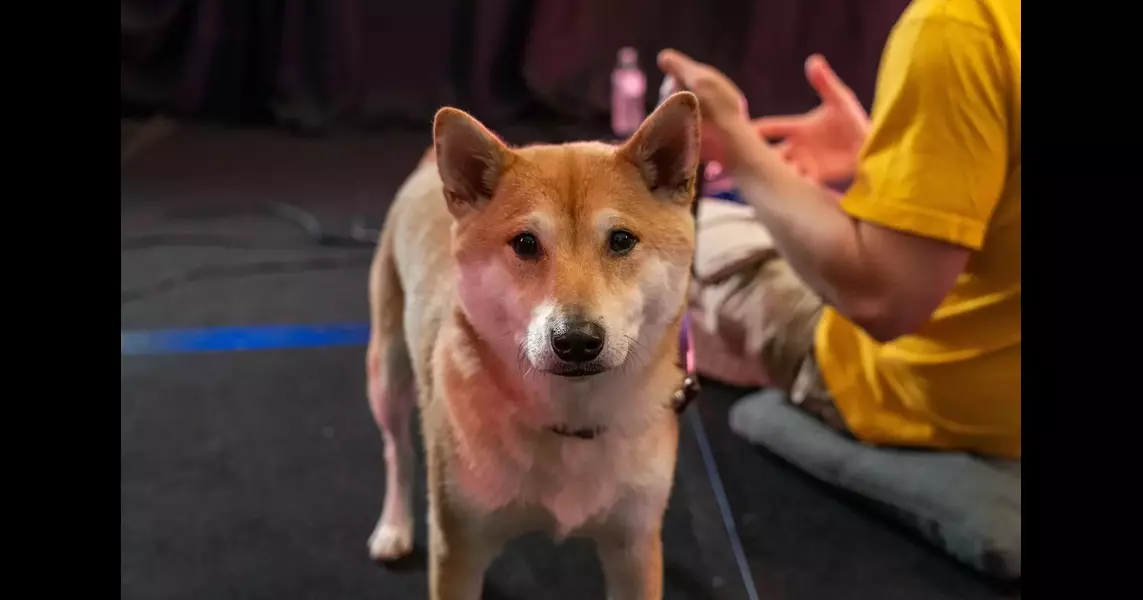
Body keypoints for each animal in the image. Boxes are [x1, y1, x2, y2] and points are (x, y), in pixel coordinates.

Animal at [370, 91, 699, 594]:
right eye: (526, 243)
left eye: (621, 239)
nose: (577, 341)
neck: (569, 421)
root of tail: (427, 169)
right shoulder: (458, 546)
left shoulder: (634, 548)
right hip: (387, 375)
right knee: (398, 454)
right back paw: (393, 525)